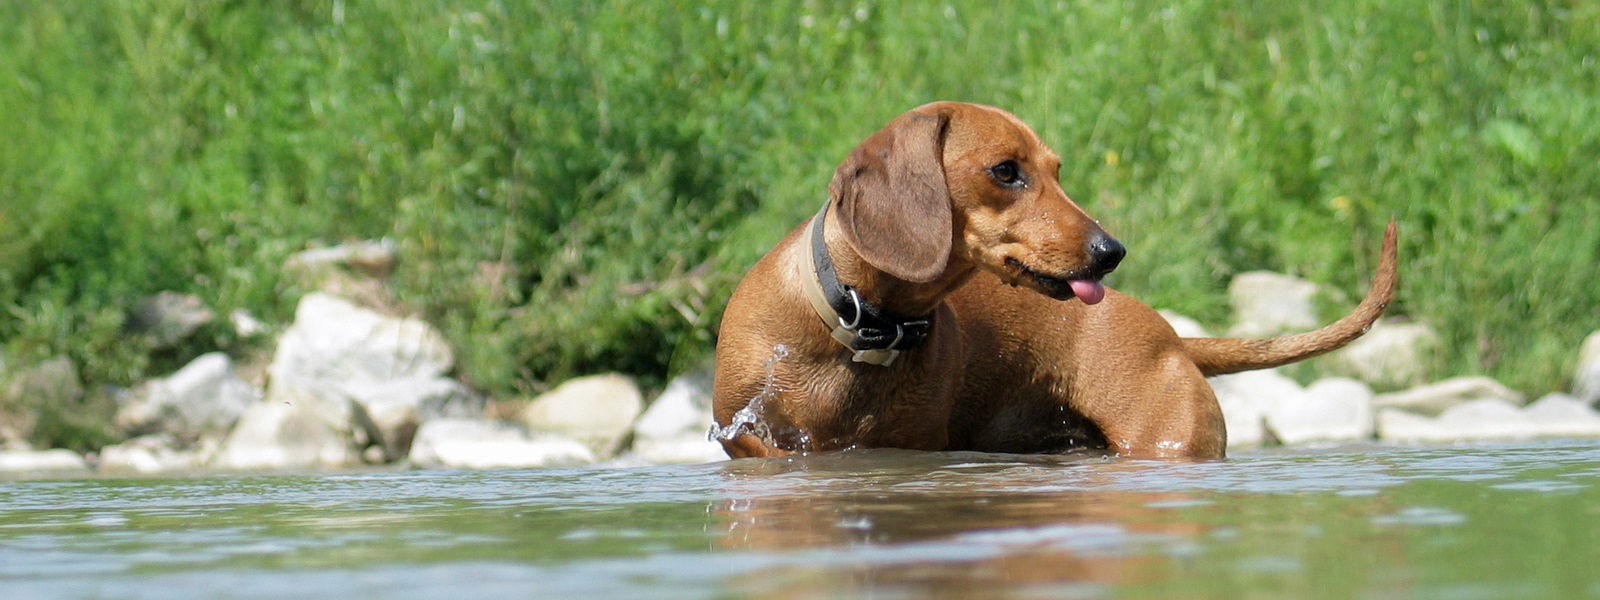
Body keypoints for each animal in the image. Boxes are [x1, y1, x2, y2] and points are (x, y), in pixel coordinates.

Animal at [707, 103, 1395, 460]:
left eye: (1057, 170)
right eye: (1005, 170)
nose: (1111, 251)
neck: (861, 328)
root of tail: (1174, 338)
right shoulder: (753, 444)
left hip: (1164, 441)